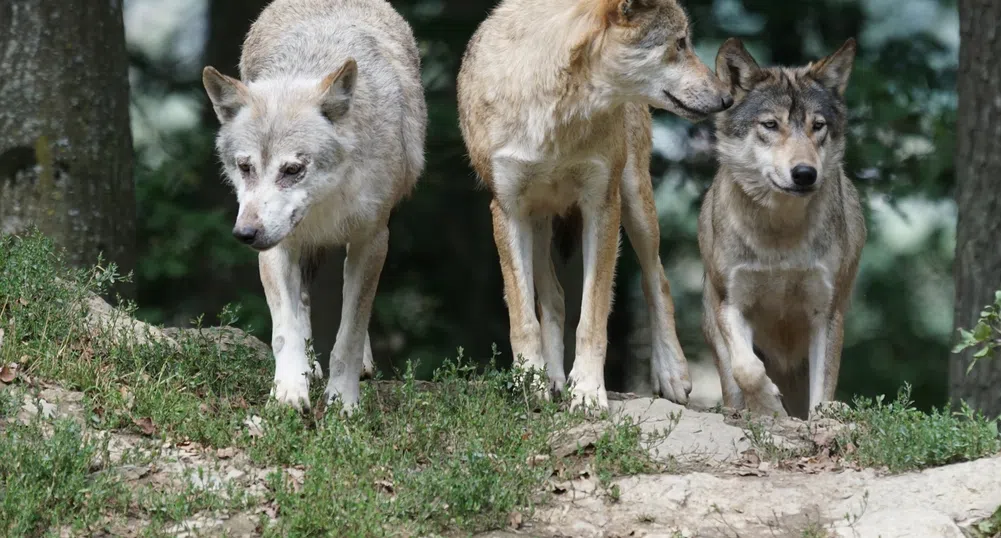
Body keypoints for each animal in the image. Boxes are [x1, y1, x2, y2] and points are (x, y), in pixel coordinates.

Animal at [201, 0, 424, 412]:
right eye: (245, 167)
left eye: (292, 170)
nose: (245, 233)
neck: (325, 203)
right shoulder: (277, 246)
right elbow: (285, 330)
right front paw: (289, 391)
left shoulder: (372, 240)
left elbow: (350, 332)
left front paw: (344, 401)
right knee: (303, 301)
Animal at [458, 0, 732, 406]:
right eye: (680, 43)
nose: (727, 98)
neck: (557, 112)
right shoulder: (507, 211)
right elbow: (523, 317)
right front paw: (530, 385)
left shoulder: (602, 206)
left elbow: (593, 316)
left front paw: (587, 391)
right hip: (538, 220)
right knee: (553, 297)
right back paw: (553, 379)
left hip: (636, 202)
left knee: (658, 280)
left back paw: (671, 374)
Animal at [696, 38, 868, 418]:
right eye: (771, 125)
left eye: (818, 126)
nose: (805, 174)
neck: (780, 235)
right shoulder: (731, 302)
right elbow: (747, 369)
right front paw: (769, 406)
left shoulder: (826, 313)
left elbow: (823, 391)